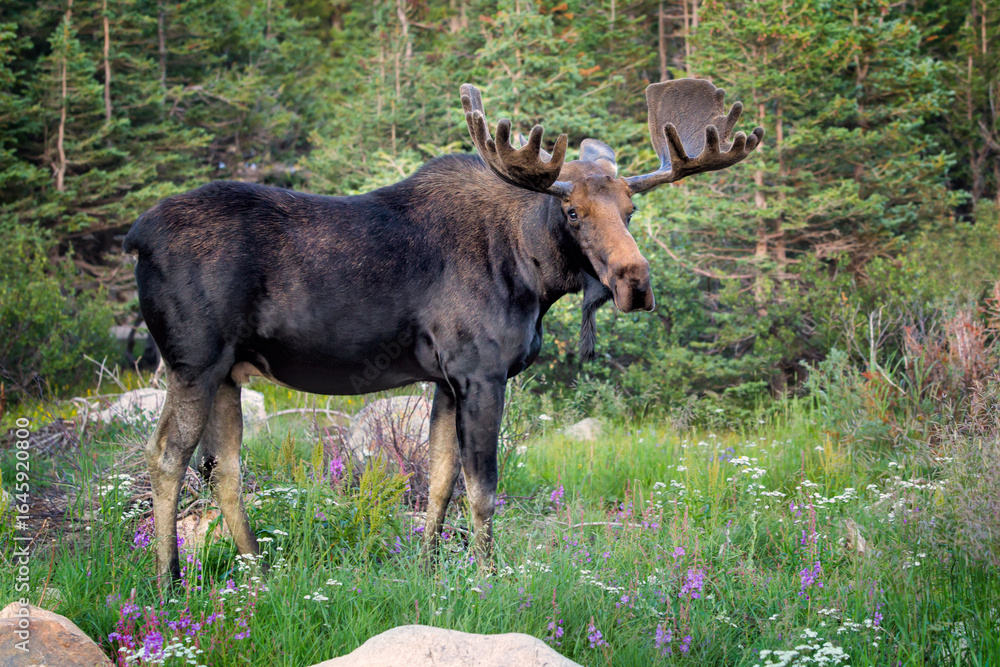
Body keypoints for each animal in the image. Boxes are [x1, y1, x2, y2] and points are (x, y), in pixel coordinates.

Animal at [123, 78, 763, 584]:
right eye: (573, 212)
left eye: (630, 210)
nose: (636, 284)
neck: (532, 272)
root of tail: (136, 236)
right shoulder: (481, 373)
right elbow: (482, 490)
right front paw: (488, 573)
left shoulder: (444, 380)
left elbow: (437, 481)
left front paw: (429, 566)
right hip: (194, 361)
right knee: (166, 457)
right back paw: (168, 580)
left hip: (228, 372)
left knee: (224, 468)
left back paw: (256, 570)